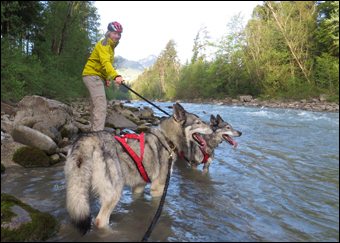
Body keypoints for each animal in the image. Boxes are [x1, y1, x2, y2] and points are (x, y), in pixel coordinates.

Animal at [63, 103, 211, 235]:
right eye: (198, 122)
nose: (213, 128)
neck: (168, 140)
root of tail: (88, 138)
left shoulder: (139, 186)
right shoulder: (158, 188)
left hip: (79, 190)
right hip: (115, 193)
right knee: (100, 221)